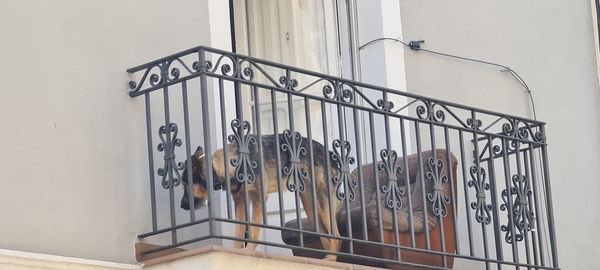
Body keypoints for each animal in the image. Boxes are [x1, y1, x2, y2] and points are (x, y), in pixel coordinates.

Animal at [179, 133, 342, 260]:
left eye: (185, 184)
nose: (182, 206)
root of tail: (331, 155)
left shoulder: (259, 199)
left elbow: (254, 230)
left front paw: (249, 252)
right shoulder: (240, 203)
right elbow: (238, 233)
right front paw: (236, 254)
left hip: (322, 204)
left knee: (337, 237)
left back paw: (331, 258)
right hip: (312, 212)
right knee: (326, 236)